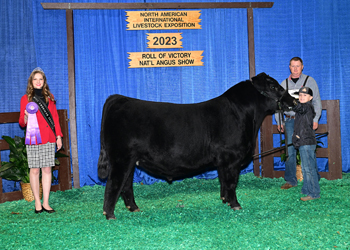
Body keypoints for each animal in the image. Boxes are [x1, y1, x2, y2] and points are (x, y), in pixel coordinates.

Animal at [98, 72, 296, 219]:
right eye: (274, 87)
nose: (293, 101)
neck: (244, 115)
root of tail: (120, 99)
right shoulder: (232, 157)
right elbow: (232, 182)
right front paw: (235, 205)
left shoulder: (223, 161)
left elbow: (224, 181)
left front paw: (225, 200)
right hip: (121, 158)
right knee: (113, 184)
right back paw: (110, 215)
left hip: (131, 160)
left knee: (126, 185)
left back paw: (134, 208)